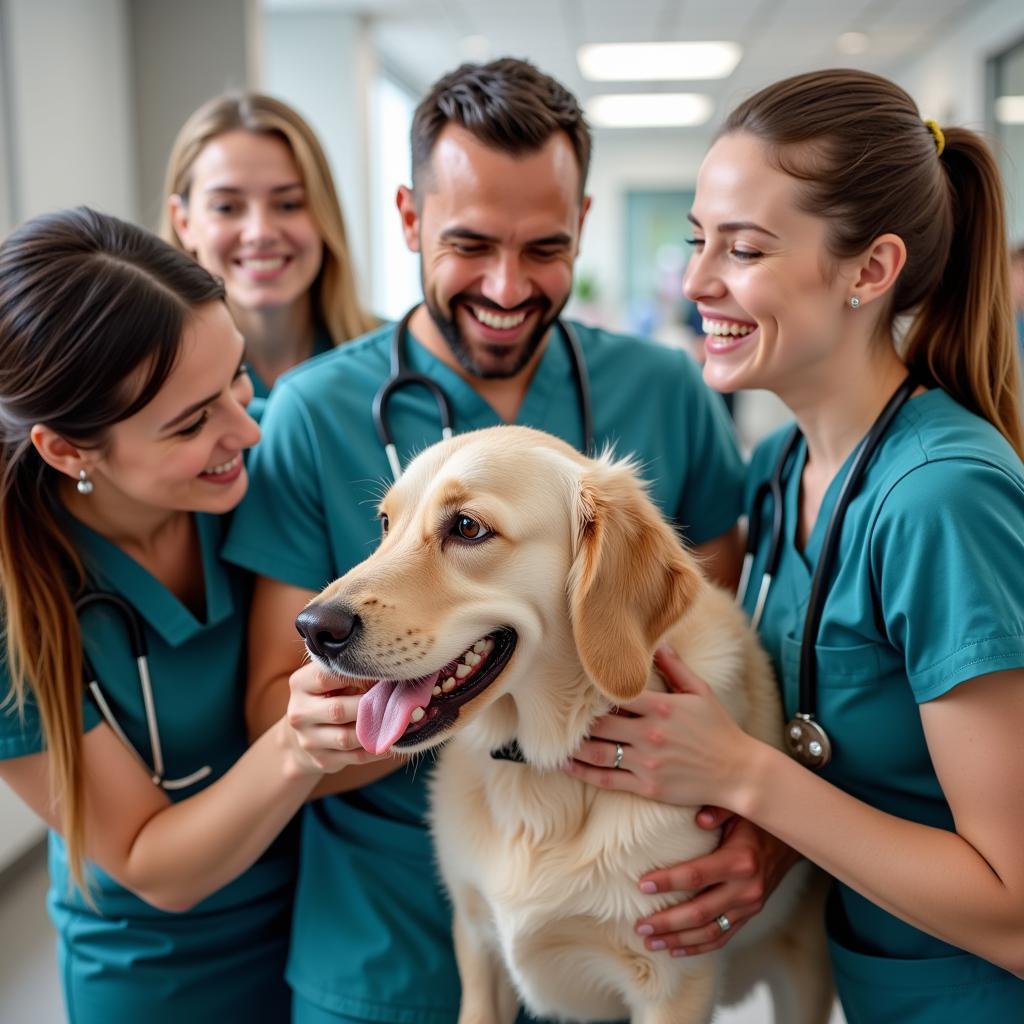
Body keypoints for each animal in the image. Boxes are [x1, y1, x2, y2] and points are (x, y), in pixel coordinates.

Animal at [296, 423, 831, 1024]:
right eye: (387, 523)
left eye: (467, 527)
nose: (312, 627)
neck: (540, 766)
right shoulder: (478, 949)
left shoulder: (673, 982)